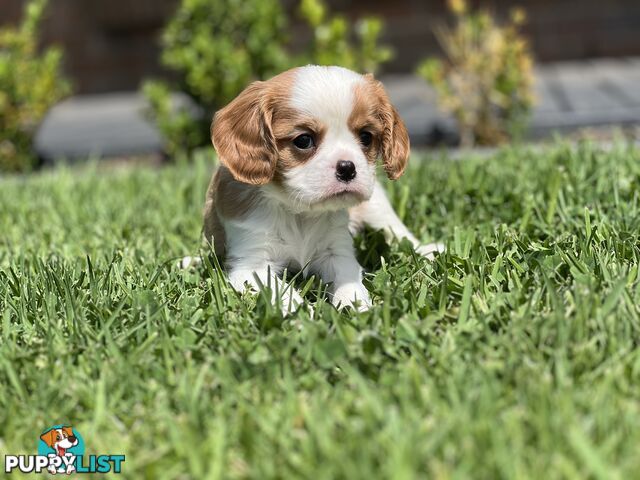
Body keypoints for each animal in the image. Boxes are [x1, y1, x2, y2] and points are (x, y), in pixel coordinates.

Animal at [204, 65, 440, 314]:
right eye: (304, 140)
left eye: (366, 137)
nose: (347, 167)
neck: (299, 211)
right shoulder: (251, 264)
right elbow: (280, 290)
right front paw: (299, 313)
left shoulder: (337, 251)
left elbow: (348, 280)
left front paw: (354, 306)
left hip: (377, 205)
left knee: (398, 233)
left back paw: (429, 249)